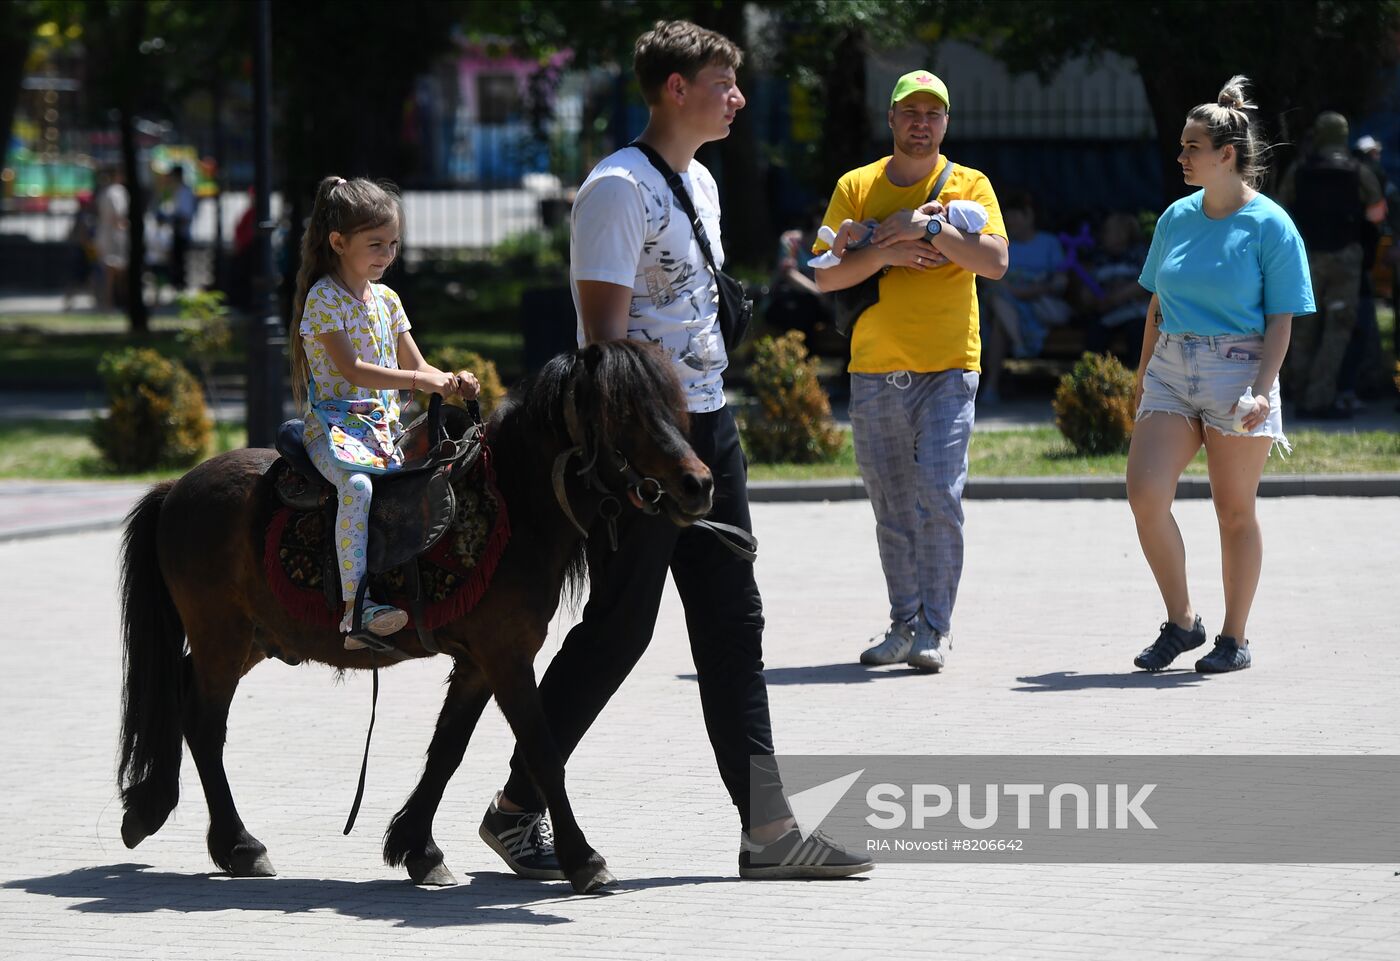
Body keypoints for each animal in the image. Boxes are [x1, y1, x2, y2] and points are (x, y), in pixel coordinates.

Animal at [114, 340, 716, 896]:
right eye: (622, 413)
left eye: (671, 406)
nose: (700, 484)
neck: (511, 509)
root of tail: (177, 488)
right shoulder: (507, 657)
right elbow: (542, 749)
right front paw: (583, 858)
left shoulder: (478, 664)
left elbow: (447, 750)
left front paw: (417, 848)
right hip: (221, 636)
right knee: (203, 722)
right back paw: (238, 844)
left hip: (252, 639)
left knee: (186, 698)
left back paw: (160, 811)